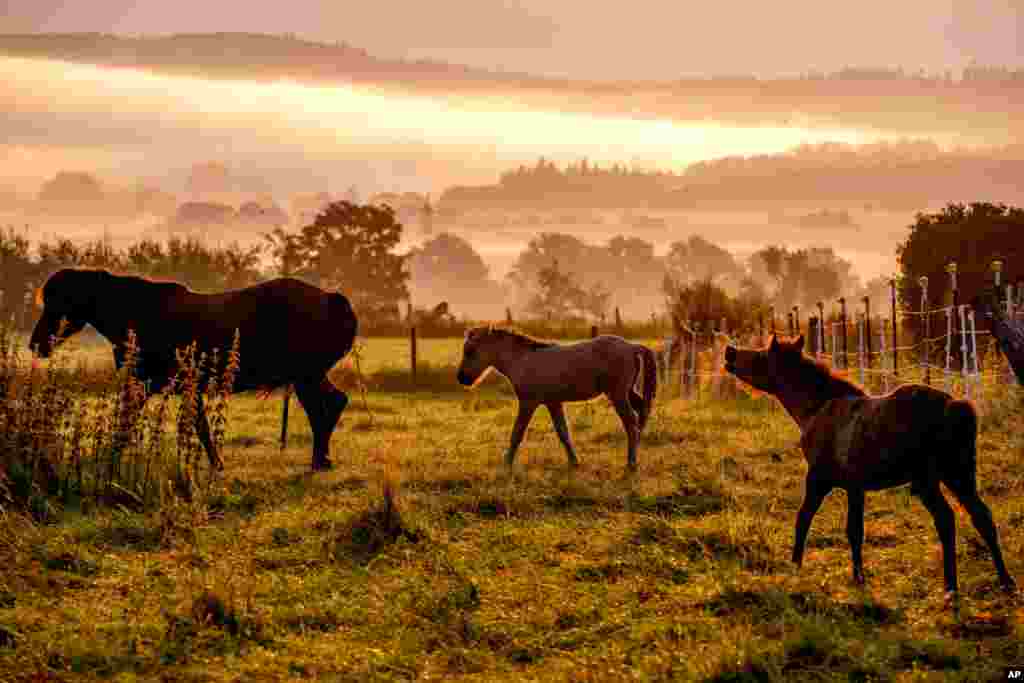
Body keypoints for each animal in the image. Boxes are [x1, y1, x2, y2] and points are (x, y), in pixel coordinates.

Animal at [30, 268, 358, 472]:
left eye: (57, 303)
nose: (36, 345)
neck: (137, 314)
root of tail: (332, 299)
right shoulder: (178, 387)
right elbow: (197, 426)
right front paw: (216, 463)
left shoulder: (154, 385)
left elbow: (130, 422)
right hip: (308, 376)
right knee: (333, 404)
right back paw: (322, 459)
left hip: (306, 375)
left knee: (325, 407)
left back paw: (319, 460)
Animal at [455, 326, 657, 471]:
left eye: (470, 351)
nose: (461, 378)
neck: (522, 360)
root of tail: (632, 346)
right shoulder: (553, 403)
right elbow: (563, 432)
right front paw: (574, 462)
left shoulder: (528, 403)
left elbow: (517, 433)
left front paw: (506, 463)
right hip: (627, 392)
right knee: (641, 413)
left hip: (618, 395)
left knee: (631, 423)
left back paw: (631, 464)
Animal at [724, 334, 1015, 605]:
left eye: (762, 355)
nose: (730, 352)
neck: (817, 408)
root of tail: (954, 406)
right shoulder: (856, 486)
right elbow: (855, 531)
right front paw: (858, 577)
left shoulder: (819, 479)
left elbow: (804, 519)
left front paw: (796, 567)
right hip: (959, 475)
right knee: (982, 517)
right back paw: (1005, 581)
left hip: (927, 481)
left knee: (947, 519)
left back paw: (951, 587)